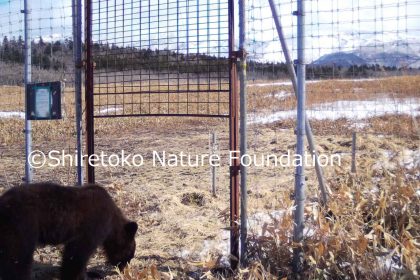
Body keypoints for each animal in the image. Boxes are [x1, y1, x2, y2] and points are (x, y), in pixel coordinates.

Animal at [0, 183, 138, 280]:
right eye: (130, 253)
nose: (125, 269)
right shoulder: (91, 228)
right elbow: (76, 255)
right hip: (21, 226)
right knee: (17, 260)